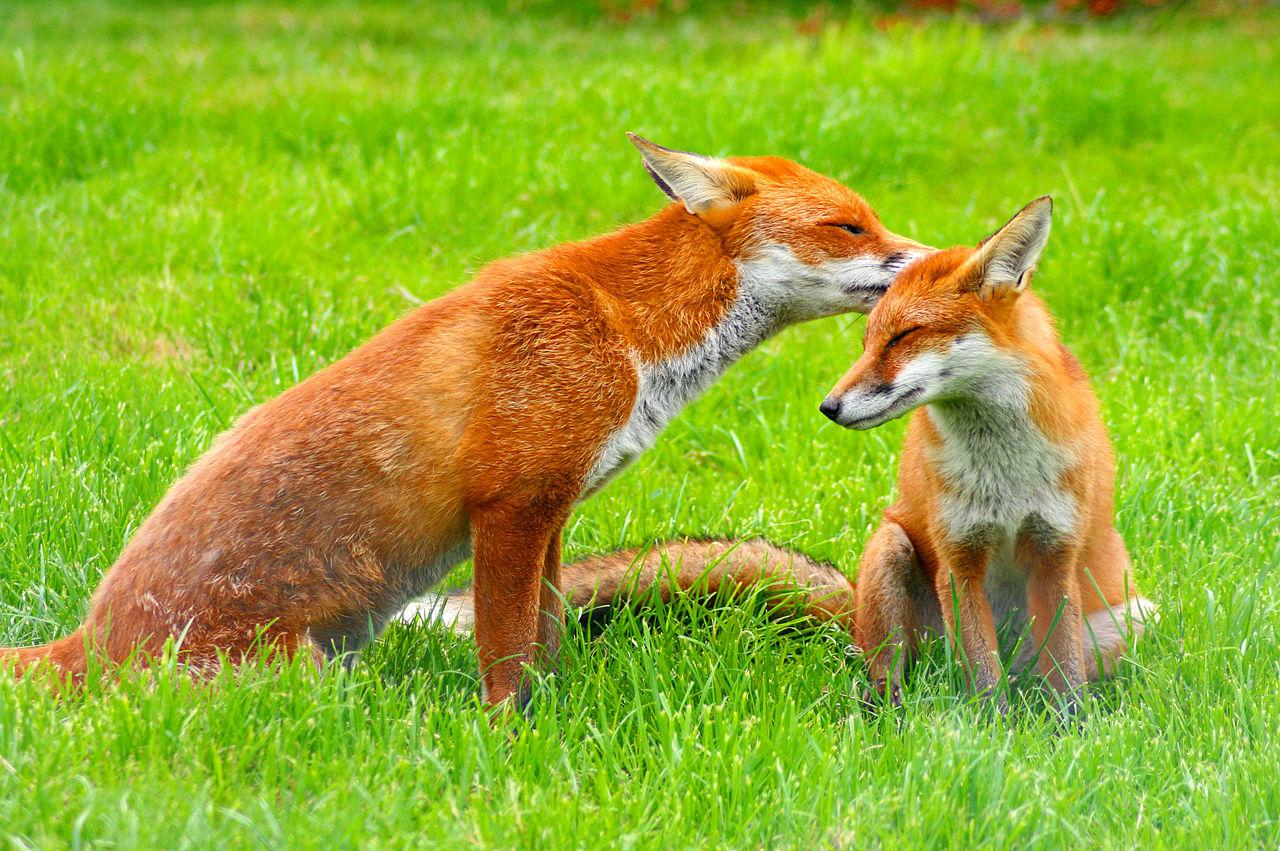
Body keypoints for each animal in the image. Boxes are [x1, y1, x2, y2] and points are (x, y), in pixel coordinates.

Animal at [5, 133, 936, 701]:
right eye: (849, 225)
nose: (938, 261)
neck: (627, 330)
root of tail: (87, 644)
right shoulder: (510, 505)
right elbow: (504, 654)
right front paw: (508, 735)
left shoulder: (552, 511)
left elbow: (547, 636)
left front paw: (557, 713)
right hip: (302, 673)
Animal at [824, 199, 1157, 711]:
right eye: (866, 344)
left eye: (902, 336)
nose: (828, 407)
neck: (1006, 476)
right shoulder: (959, 560)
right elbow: (982, 676)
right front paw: (993, 727)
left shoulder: (1055, 552)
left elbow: (1065, 676)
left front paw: (1072, 727)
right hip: (890, 552)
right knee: (890, 676)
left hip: (1135, 617)